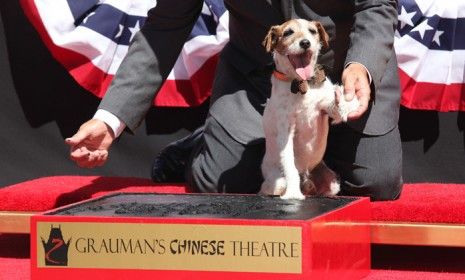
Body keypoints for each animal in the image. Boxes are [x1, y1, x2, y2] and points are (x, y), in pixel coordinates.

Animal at [260, 19, 358, 199]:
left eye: (312, 31)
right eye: (288, 33)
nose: (305, 43)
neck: (301, 84)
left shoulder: (325, 108)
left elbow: (335, 107)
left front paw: (342, 100)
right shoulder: (285, 131)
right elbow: (289, 165)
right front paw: (293, 193)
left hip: (332, 183)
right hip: (276, 181)